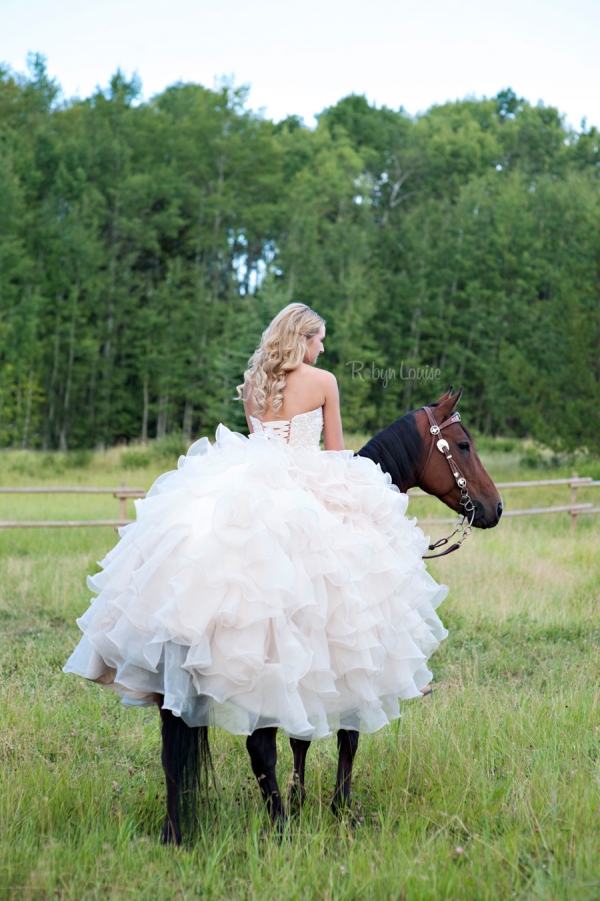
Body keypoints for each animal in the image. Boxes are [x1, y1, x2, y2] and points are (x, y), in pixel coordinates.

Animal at [156, 386, 502, 844]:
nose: (496, 506)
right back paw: (280, 828)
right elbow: (347, 738)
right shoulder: (355, 664)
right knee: (259, 750)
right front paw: (340, 807)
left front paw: (301, 798)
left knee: (171, 756)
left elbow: (301, 740)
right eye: (463, 445)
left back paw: (174, 832)